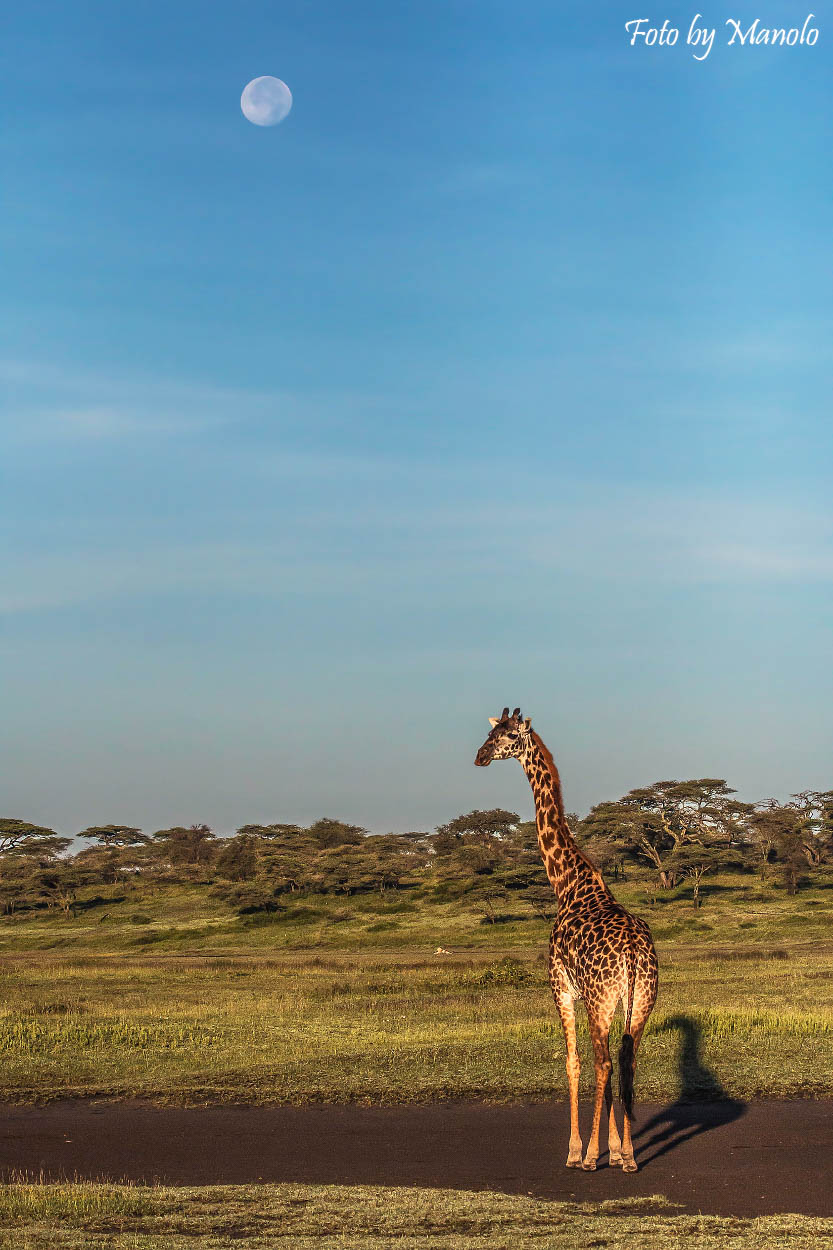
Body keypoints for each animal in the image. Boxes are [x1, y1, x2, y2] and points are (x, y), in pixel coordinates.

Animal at [475, 707, 658, 1173]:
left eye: (509, 737)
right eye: (490, 733)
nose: (480, 757)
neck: (568, 884)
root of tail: (633, 954)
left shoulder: (560, 986)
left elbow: (572, 1063)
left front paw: (578, 1150)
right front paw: (615, 1149)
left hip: (599, 999)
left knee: (602, 1063)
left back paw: (591, 1157)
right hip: (641, 1000)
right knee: (627, 1061)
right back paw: (630, 1157)